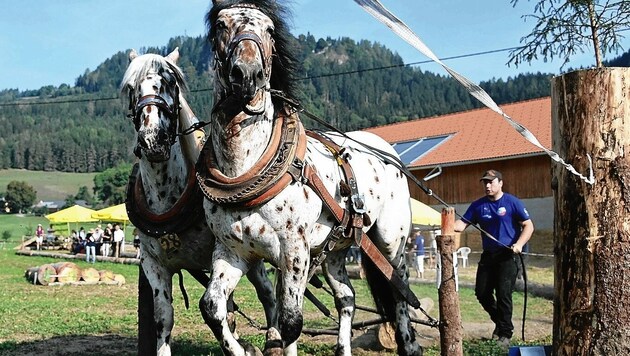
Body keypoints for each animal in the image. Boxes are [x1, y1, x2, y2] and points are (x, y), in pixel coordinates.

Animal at [123, 48, 278, 356]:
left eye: (171, 83)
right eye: (131, 88)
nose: (153, 140)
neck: (167, 197)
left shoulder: (226, 252)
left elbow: (220, 308)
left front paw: (239, 347)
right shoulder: (153, 264)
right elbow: (163, 317)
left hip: (252, 259)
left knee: (267, 296)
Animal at [198, 0, 424, 356]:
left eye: (270, 30)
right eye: (221, 25)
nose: (248, 74)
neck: (245, 168)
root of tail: (388, 152)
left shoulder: (295, 250)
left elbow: (290, 321)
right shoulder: (233, 251)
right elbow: (212, 307)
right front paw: (241, 349)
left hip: (392, 243)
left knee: (398, 292)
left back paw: (410, 345)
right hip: (336, 250)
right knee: (347, 297)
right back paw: (343, 348)